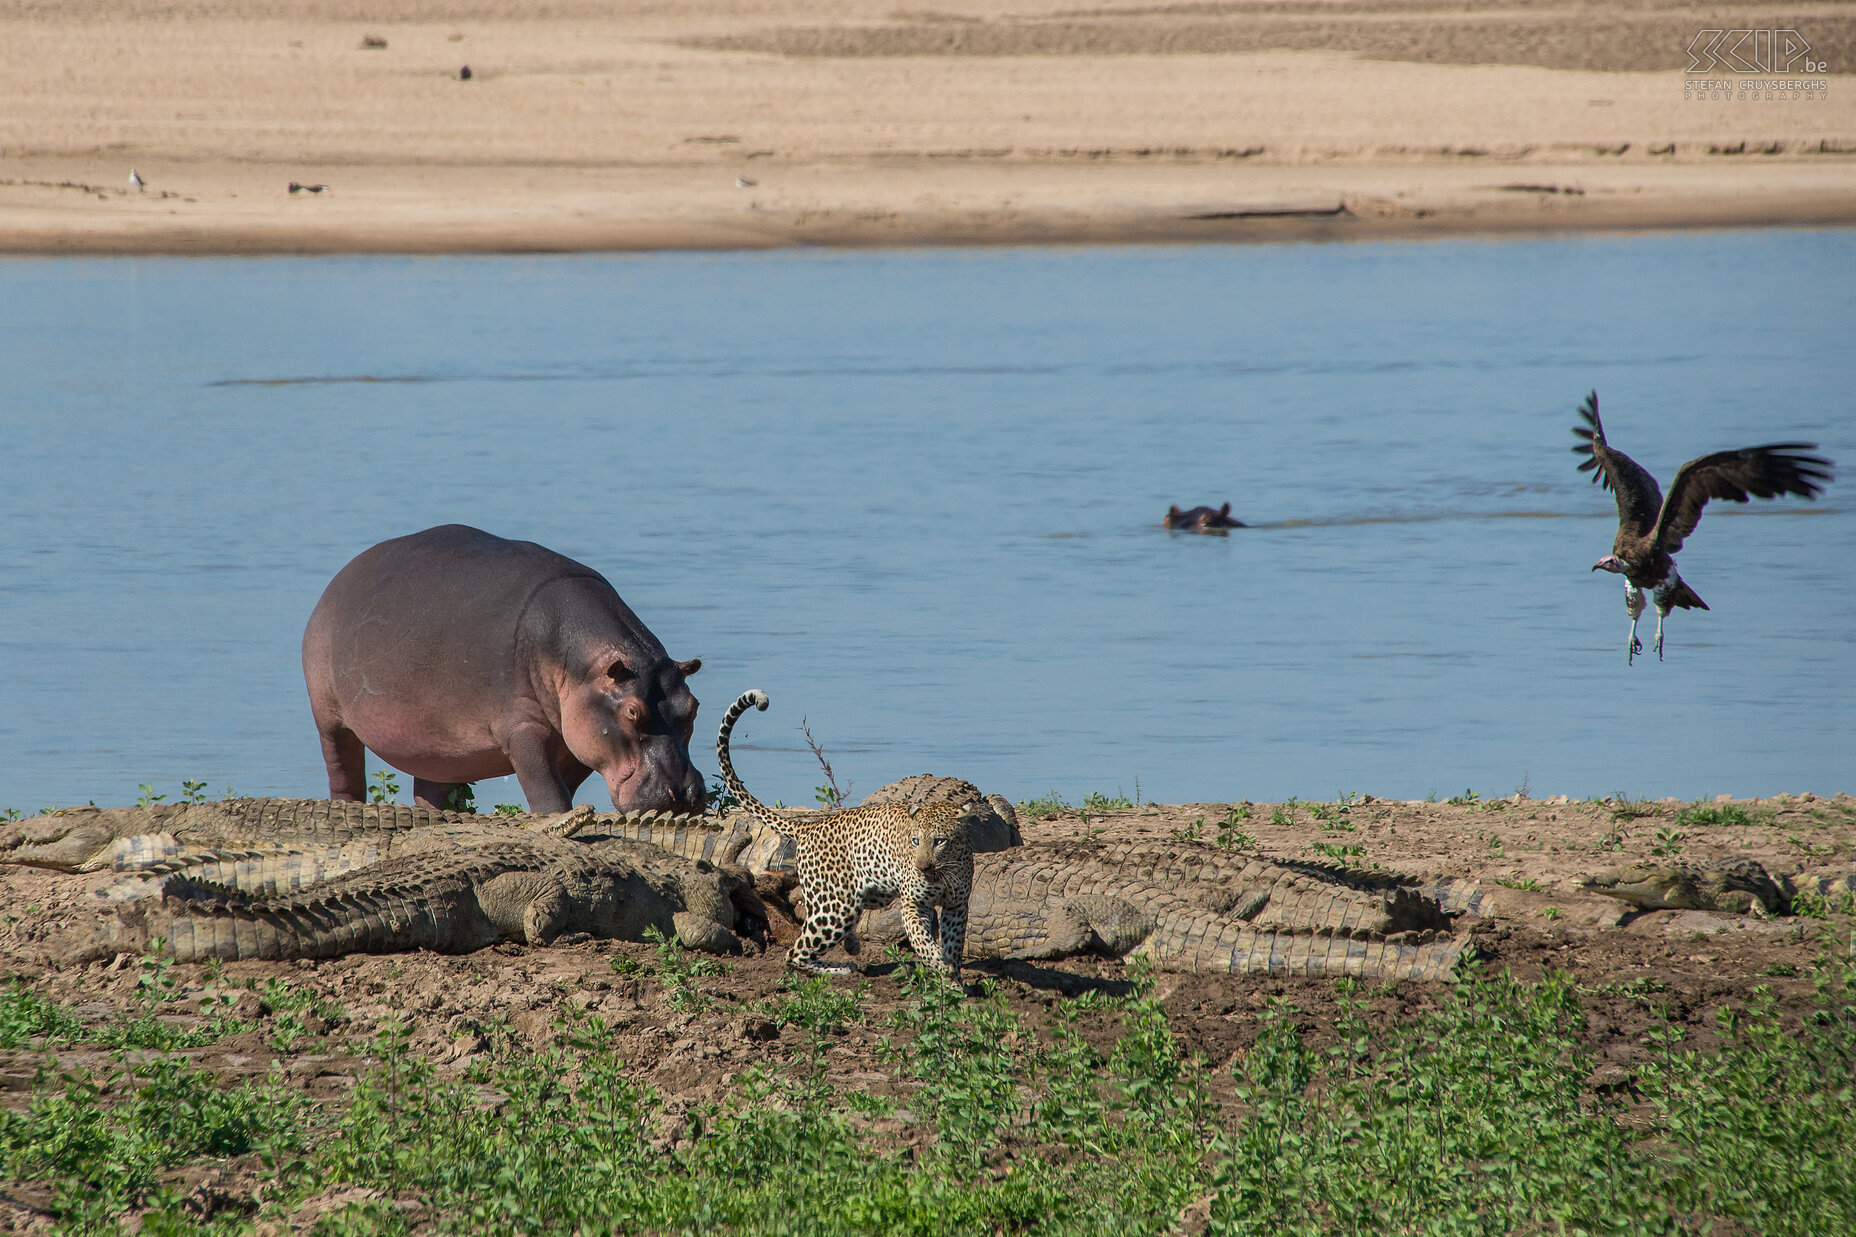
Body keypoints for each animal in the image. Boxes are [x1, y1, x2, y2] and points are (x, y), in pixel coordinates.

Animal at [300, 520, 705, 809]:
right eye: (633, 712)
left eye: (693, 707)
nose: (684, 794)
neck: (580, 665)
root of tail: (341, 578)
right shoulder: (522, 728)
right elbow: (548, 792)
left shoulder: (577, 734)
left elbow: (566, 787)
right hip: (328, 716)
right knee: (343, 770)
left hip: (433, 745)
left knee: (430, 790)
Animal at [712, 683, 979, 980]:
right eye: (915, 840)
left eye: (939, 841)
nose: (922, 867)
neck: (944, 871)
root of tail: (809, 826)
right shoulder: (913, 904)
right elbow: (924, 943)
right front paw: (942, 969)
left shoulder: (957, 906)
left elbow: (953, 945)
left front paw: (954, 978)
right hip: (836, 909)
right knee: (795, 954)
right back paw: (840, 969)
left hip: (863, 895)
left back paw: (851, 946)